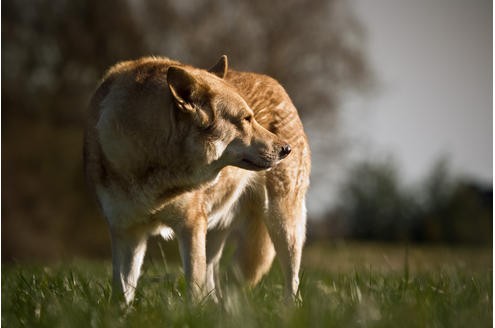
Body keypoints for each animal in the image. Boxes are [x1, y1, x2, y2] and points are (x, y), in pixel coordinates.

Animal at [83, 55, 312, 304]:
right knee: (214, 281)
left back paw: (288, 308)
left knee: (293, 281)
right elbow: (122, 292)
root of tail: (275, 84)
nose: (286, 149)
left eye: (252, 118)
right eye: (246, 119)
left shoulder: (190, 226)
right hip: (214, 230)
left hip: (282, 223)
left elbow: (193, 288)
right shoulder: (127, 232)